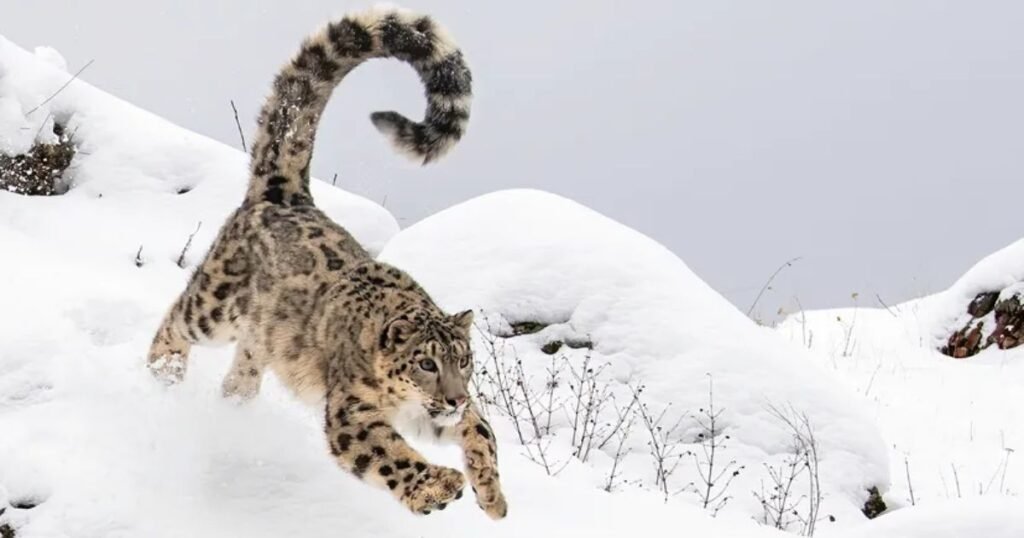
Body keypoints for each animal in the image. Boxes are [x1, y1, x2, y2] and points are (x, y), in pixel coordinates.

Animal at [145, 5, 506, 519]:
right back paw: (164, 372)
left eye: (465, 360)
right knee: (178, 318)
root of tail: (286, 195)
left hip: (257, 344)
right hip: (216, 304)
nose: (453, 397)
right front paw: (436, 487)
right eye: (425, 363)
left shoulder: (437, 415)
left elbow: (482, 431)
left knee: (239, 376)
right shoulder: (353, 411)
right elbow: (389, 454)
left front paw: (493, 496)